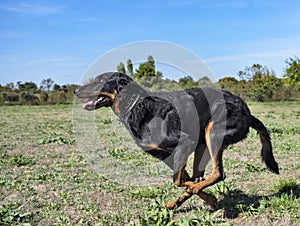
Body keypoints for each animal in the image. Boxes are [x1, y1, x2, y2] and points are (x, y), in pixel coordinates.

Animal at [74, 72, 278, 210]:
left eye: (101, 80)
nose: (75, 90)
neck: (136, 105)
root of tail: (249, 114)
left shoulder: (183, 143)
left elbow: (178, 181)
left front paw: (199, 193)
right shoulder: (167, 156)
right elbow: (183, 179)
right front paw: (208, 198)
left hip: (213, 132)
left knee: (218, 174)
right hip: (203, 144)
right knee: (201, 176)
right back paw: (178, 202)